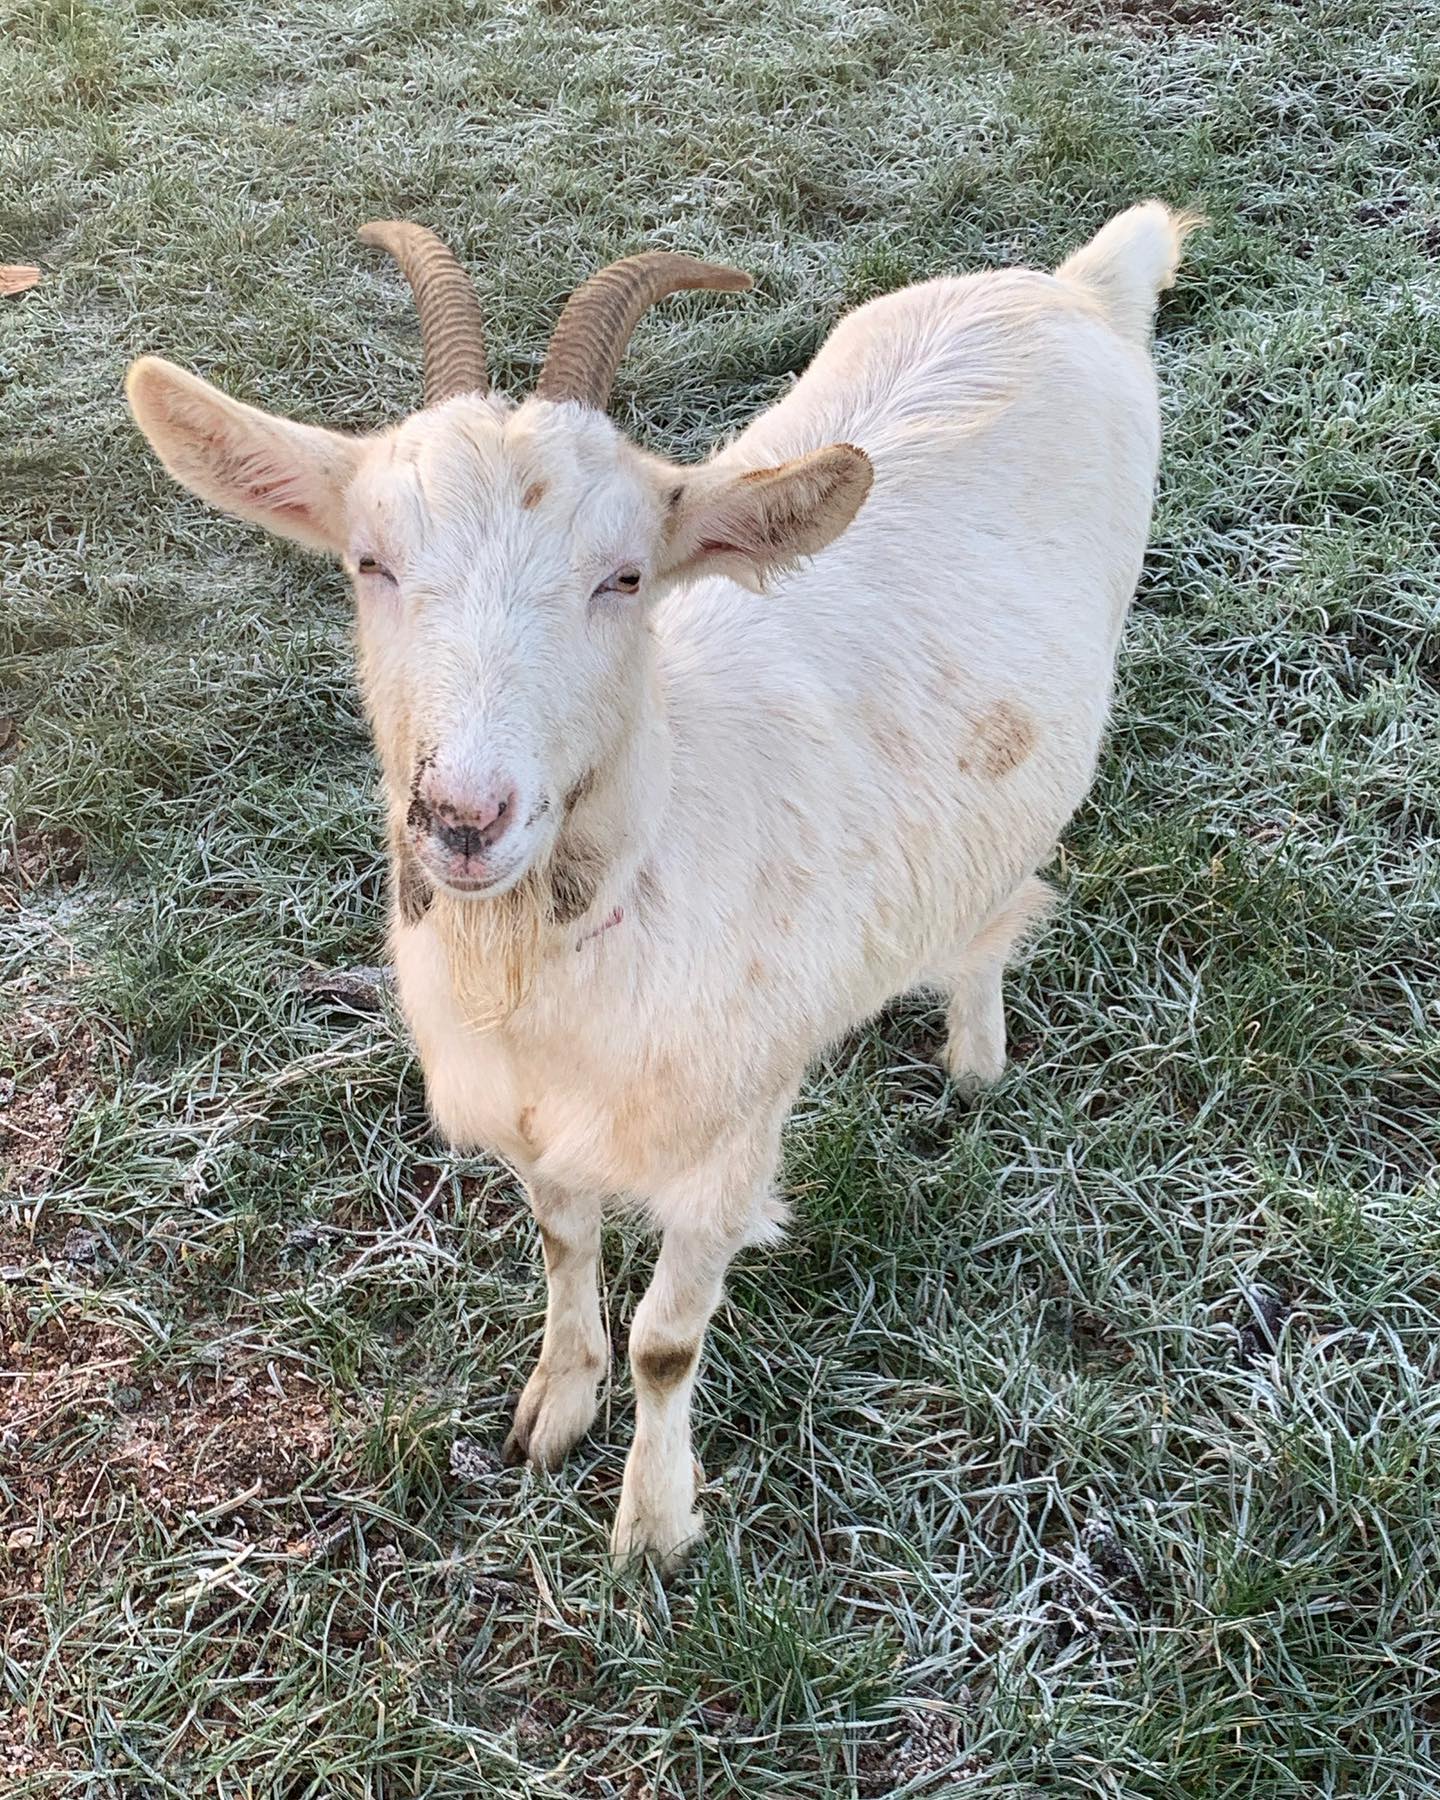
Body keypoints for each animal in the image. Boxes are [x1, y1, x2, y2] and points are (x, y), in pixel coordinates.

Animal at [126, 202, 1195, 1566]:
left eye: (624, 576)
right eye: (370, 562)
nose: (463, 818)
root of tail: (1077, 285)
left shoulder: (727, 1137)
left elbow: (669, 1342)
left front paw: (651, 1522)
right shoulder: (540, 1119)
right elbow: (561, 1243)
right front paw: (554, 1407)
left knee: (998, 909)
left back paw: (974, 1057)